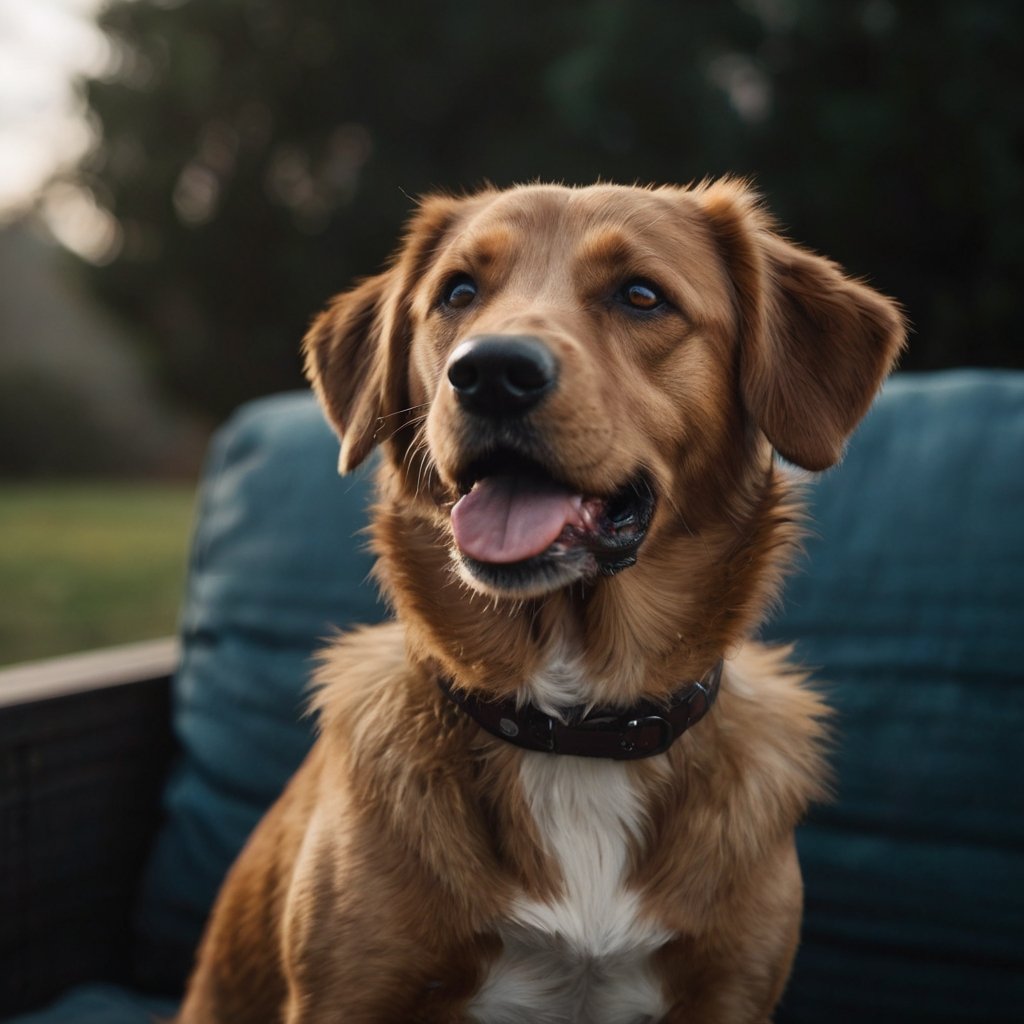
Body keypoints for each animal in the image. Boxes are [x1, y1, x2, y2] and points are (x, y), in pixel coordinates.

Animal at [176, 180, 905, 1019]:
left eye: (641, 295)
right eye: (458, 292)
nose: (491, 372)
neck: (575, 724)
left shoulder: (730, 992)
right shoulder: (347, 995)